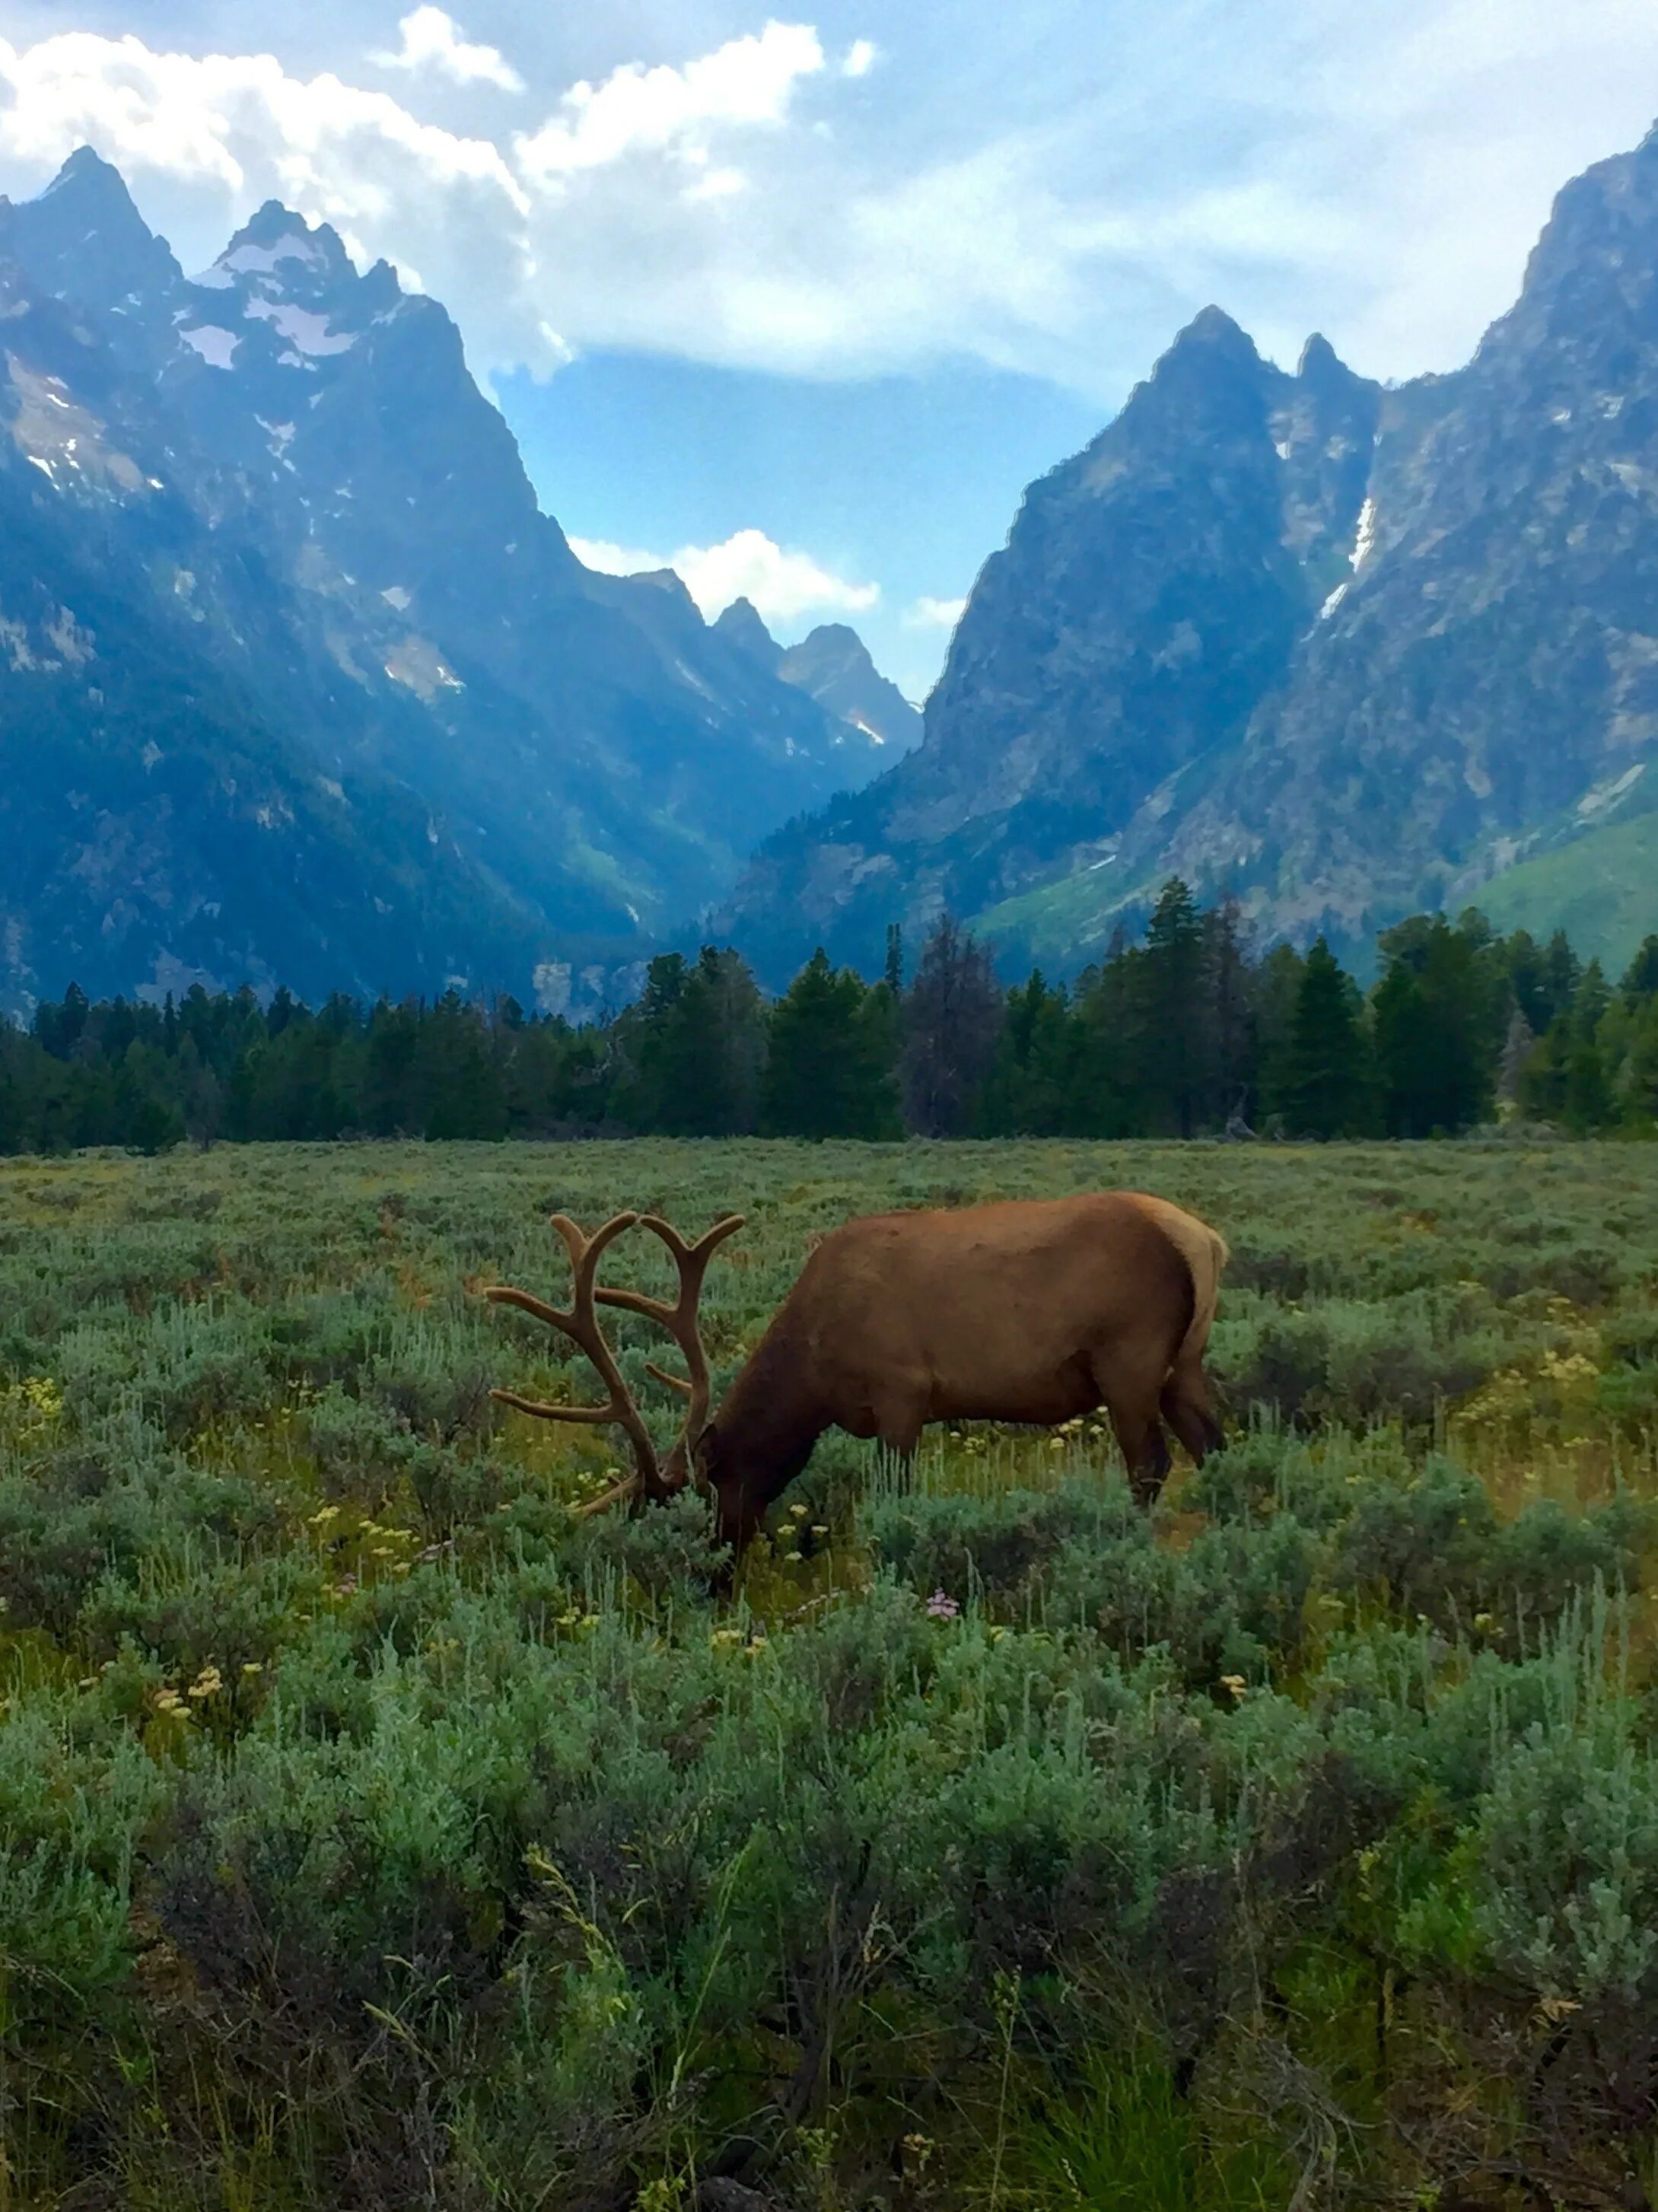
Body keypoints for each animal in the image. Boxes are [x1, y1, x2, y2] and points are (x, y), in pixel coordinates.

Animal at [479, 1194, 1220, 1557]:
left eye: (692, 1507)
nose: (705, 1586)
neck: (814, 1372)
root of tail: (1205, 1240)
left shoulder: (903, 1392)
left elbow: (894, 1498)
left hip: (1128, 1359)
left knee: (1150, 1463)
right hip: (1182, 1365)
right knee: (1213, 1447)